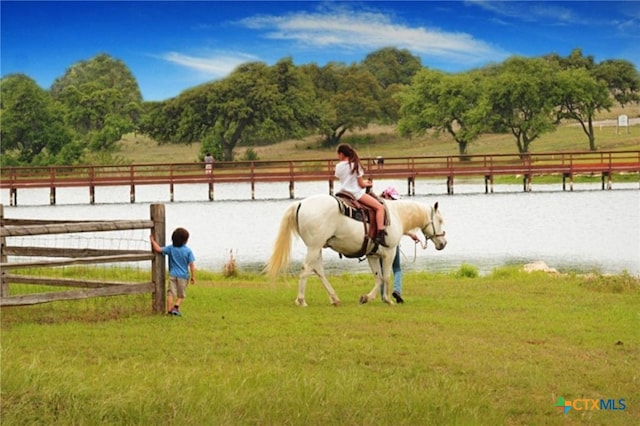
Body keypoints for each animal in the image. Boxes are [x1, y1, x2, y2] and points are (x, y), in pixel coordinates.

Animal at [264, 193, 444, 306]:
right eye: (441, 220)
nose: (443, 243)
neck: (396, 215)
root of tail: (300, 203)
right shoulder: (389, 252)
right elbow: (386, 276)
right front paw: (388, 299)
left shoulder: (372, 255)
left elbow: (378, 278)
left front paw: (366, 298)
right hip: (314, 247)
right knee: (306, 269)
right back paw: (301, 300)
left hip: (317, 248)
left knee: (318, 271)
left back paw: (335, 298)